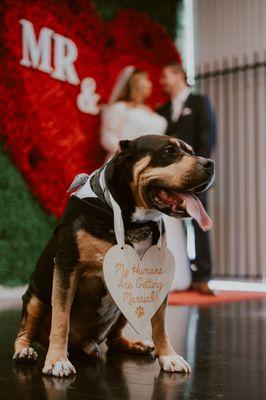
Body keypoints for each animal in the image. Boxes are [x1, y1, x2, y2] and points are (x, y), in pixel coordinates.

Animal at [13, 134, 215, 376]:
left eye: (192, 152)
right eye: (169, 151)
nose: (210, 164)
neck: (132, 223)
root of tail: (86, 344)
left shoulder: (158, 275)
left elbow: (160, 324)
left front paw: (169, 356)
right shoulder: (67, 266)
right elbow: (61, 318)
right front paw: (57, 360)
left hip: (121, 309)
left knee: (114, 338)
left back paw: (135, 344)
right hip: (34, 299)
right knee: (24, 332)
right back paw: (24, 352)